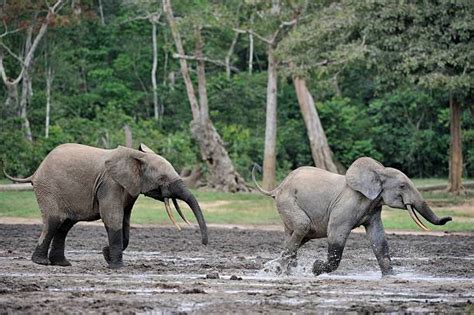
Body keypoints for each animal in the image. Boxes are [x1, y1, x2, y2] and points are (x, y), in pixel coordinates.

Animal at [3, 143, 207, 270]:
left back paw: (62, 264)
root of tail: (36, 172)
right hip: (49, 189)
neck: (138, 156)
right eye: (162, 178)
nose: (204, 244)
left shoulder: (129, 189)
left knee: (64, 226)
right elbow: (113, 217)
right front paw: (116, 266)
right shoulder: (110, 184)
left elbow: (125, 221)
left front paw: (106, 254)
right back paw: (41, 263)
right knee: (54, 221)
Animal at [252, 157, 452, 276]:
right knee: (303, 226)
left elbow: (378, 238)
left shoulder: (373, 208)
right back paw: (278, 269)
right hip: (287, 201)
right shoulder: (346, 206)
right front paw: (316, 268)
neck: (378, 171)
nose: (449, 219)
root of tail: (278, 187)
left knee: (299, 235)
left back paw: (278, 268)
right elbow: (336, 234)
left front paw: (391, 276)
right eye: (402, 186)